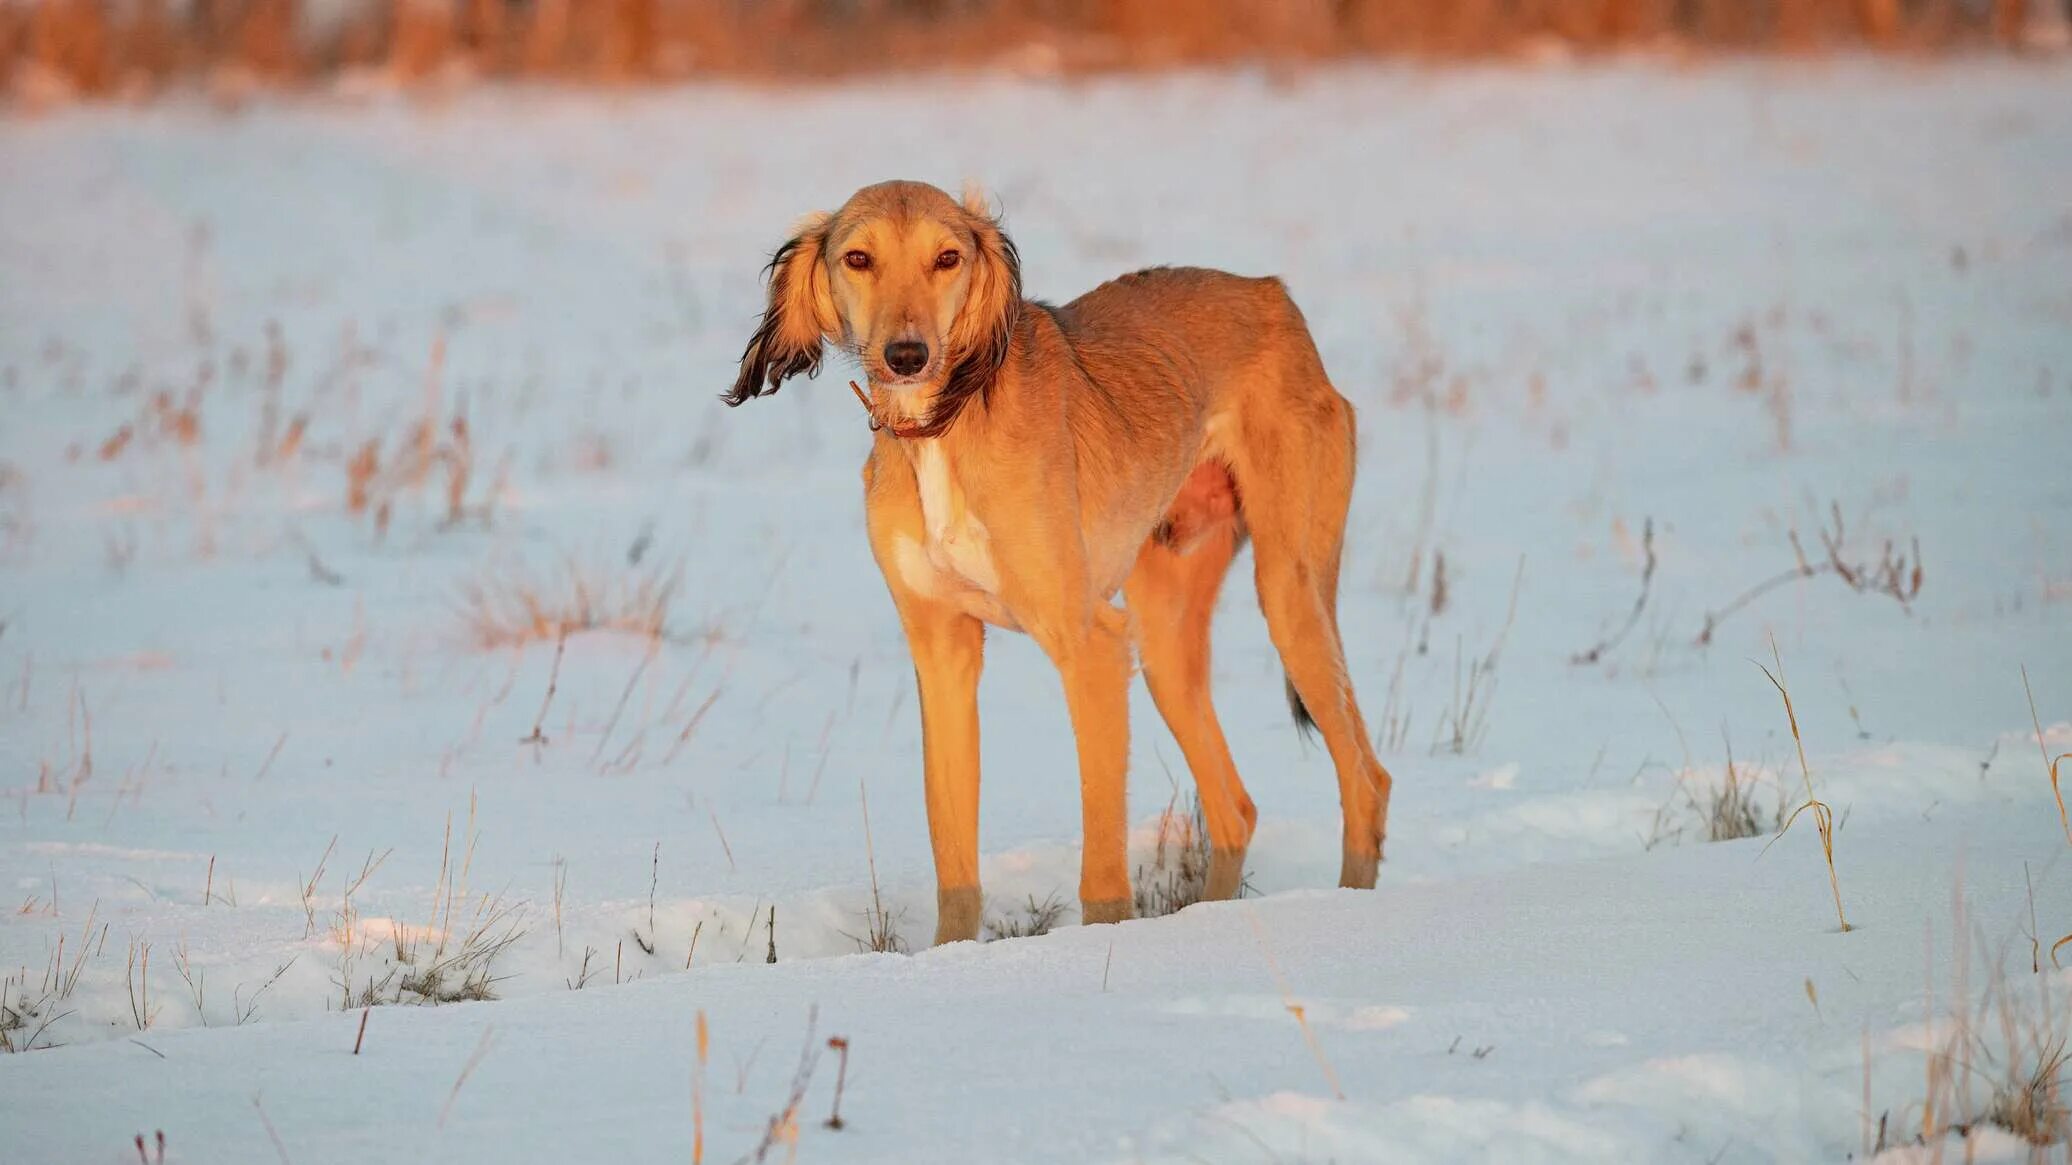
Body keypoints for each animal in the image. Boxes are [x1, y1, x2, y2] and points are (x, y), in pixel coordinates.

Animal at [725, 181, 1392, 945]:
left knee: (1367, 783)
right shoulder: (943, 654)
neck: (945, 425)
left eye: (947, 257)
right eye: (858, 258)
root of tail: (1271, 293)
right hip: (1165, 643)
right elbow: (953, 857)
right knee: (1236, 810)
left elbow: (1101, 873)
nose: (906, 355)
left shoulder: (1091, 646)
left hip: (1287, 592)